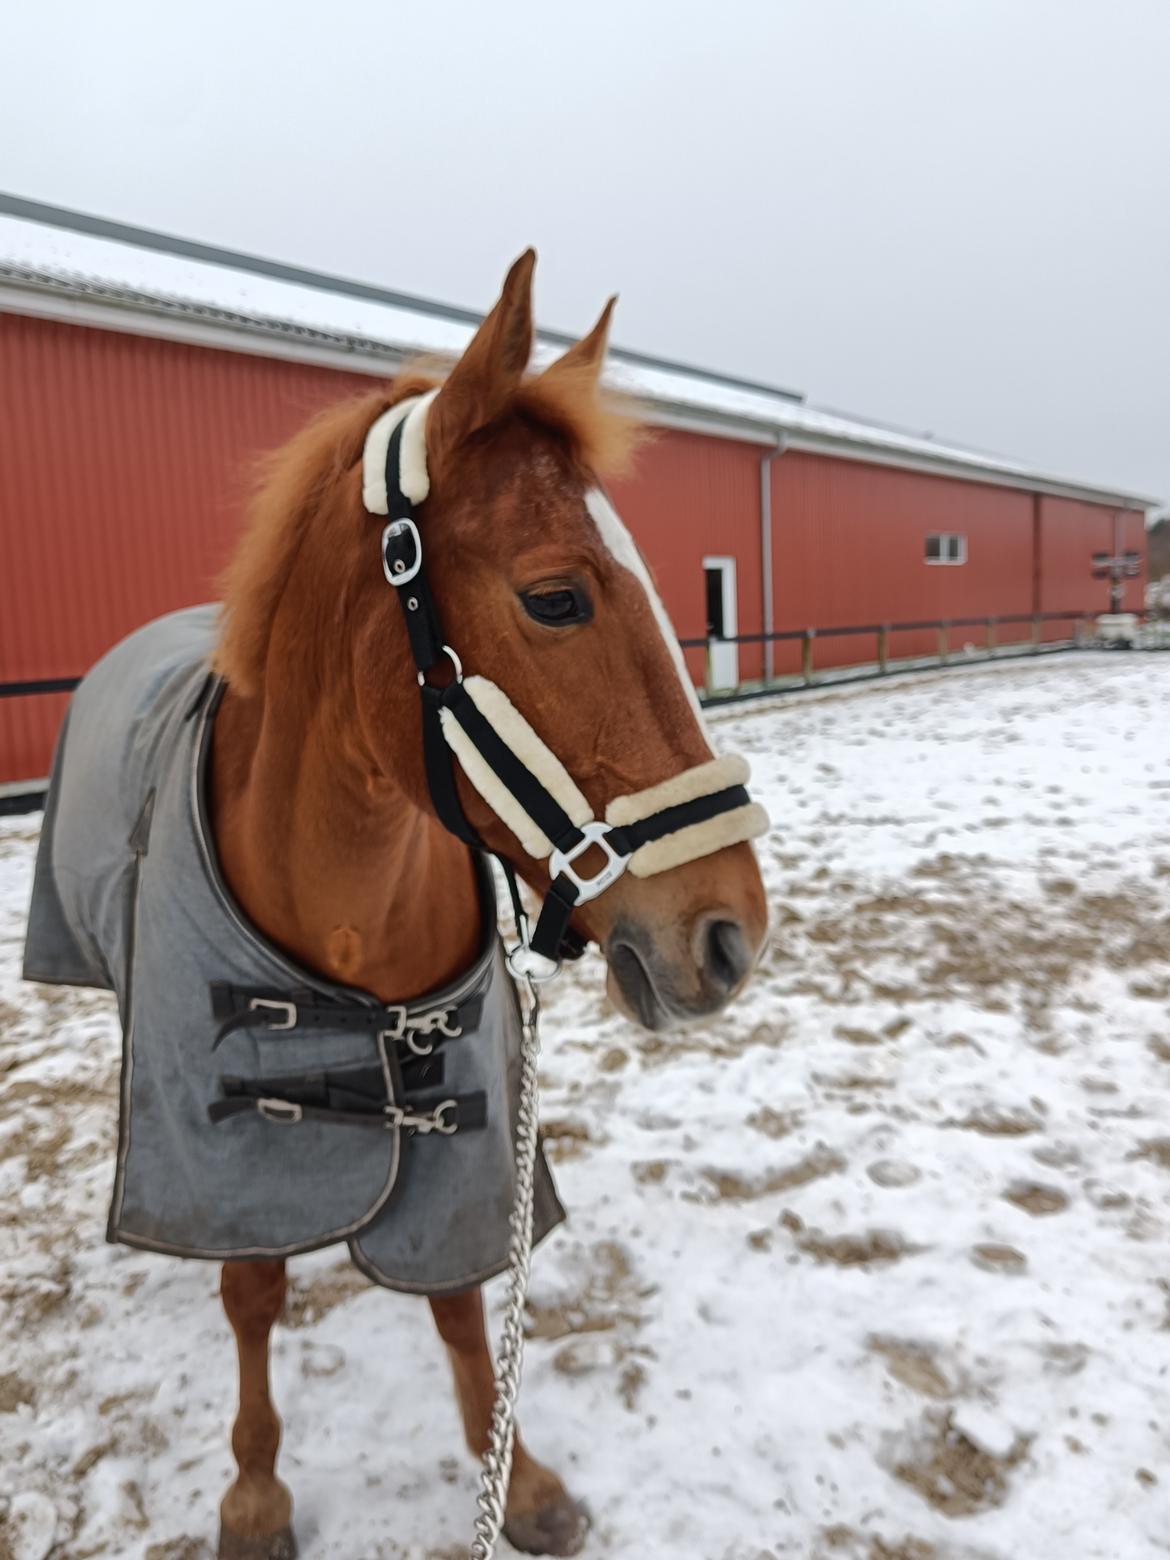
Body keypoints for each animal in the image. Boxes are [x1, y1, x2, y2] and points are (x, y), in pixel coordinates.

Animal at [204, 249, 764, 1553]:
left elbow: (460, 1296)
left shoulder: (458, 1108)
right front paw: (255, 1489)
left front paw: (519, 1479)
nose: (734, 935)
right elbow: (250, 1284)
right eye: (556, 598)